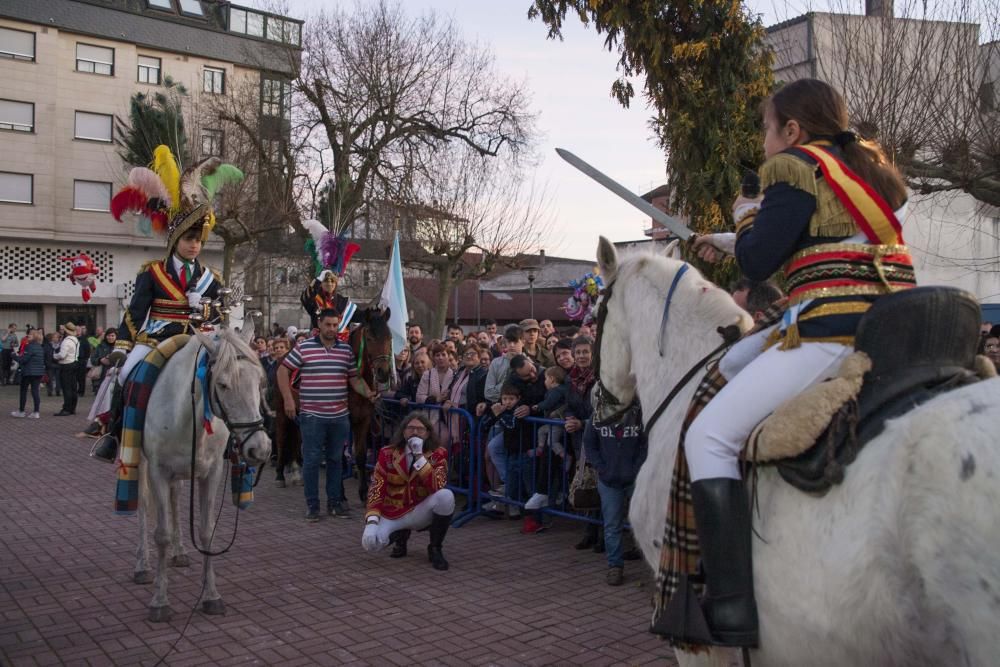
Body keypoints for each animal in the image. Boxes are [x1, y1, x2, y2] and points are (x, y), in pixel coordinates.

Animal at [129, 326, 272, 624]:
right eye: (223, 384)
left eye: (259, 382)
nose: (260, 448)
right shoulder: (158, 470)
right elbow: (161, 534)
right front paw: (160, 601)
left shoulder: (211, 471)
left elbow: (207, 531)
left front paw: (211, 596)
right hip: (142, 463)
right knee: (144, 507)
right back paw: (142, 565)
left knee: (175, 498)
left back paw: (180, 552)